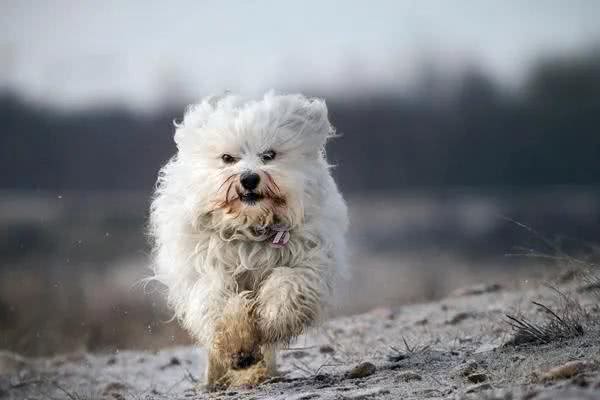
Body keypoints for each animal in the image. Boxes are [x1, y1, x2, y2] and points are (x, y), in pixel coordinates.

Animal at [148, 93, 350, 388]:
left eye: (269, 155)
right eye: (227, 158)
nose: (249, 178)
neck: (251, 228)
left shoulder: (308, 261)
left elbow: (287, 285)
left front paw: (272, 320)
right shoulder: (208, 269)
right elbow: (220, 305)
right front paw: (238, 346)